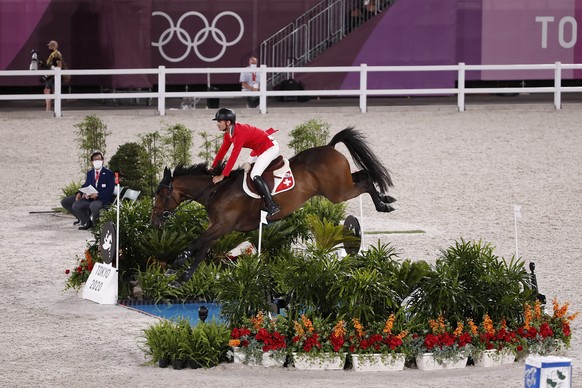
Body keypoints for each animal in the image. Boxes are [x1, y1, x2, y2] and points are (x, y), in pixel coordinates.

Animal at [151, 128, 396, 288]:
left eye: (161, 194)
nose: (155, 222)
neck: (215, 190)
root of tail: (329, 147)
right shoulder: (218, 227)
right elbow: (202, 251)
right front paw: (182, 278)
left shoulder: (223, 226)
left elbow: (196, 244)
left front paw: (175, 266)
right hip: (340, 185)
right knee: (363, 174)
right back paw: (386, 199)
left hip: (337, 192)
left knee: (365, 181)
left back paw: (384, 205)